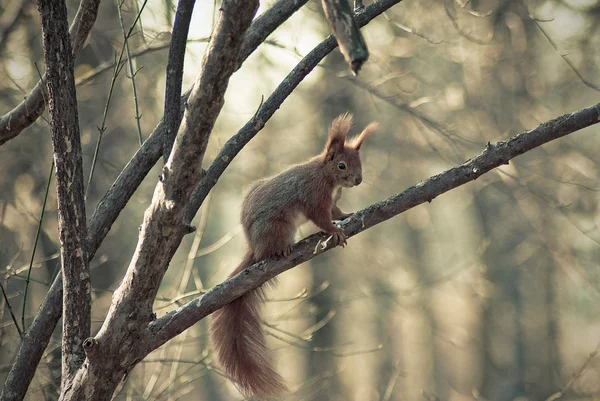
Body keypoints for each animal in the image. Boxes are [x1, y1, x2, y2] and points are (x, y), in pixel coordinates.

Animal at [210, 112, 376, 396]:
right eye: (342, 165)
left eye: (360, 162)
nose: (358, 180)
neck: (325, 175)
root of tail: (254, 247)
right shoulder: (314, 197)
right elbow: (322, 219)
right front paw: (335, 231)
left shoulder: (331, 201)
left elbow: (335, 211)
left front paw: (346, 215)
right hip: (278, 227)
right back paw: (282, 249)